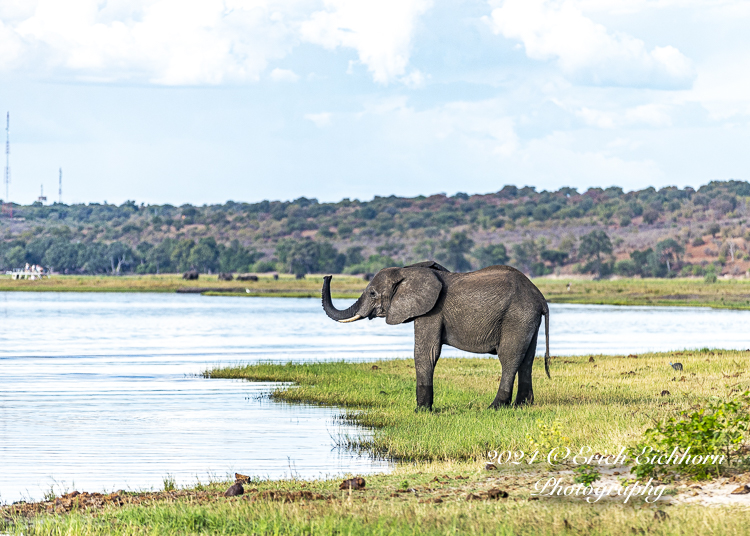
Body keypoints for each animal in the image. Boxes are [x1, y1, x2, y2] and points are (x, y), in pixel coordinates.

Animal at [320, 262, 548, 410]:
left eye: (373, 293)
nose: (327, 276)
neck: (407, 271)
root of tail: (540, 297)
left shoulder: (431, 311)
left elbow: (426, 353)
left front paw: (421, 411)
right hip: (528, 319)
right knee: (527, 359)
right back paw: (522, 405)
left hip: (516, 316)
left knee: (509, 358)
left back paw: (495, 407)